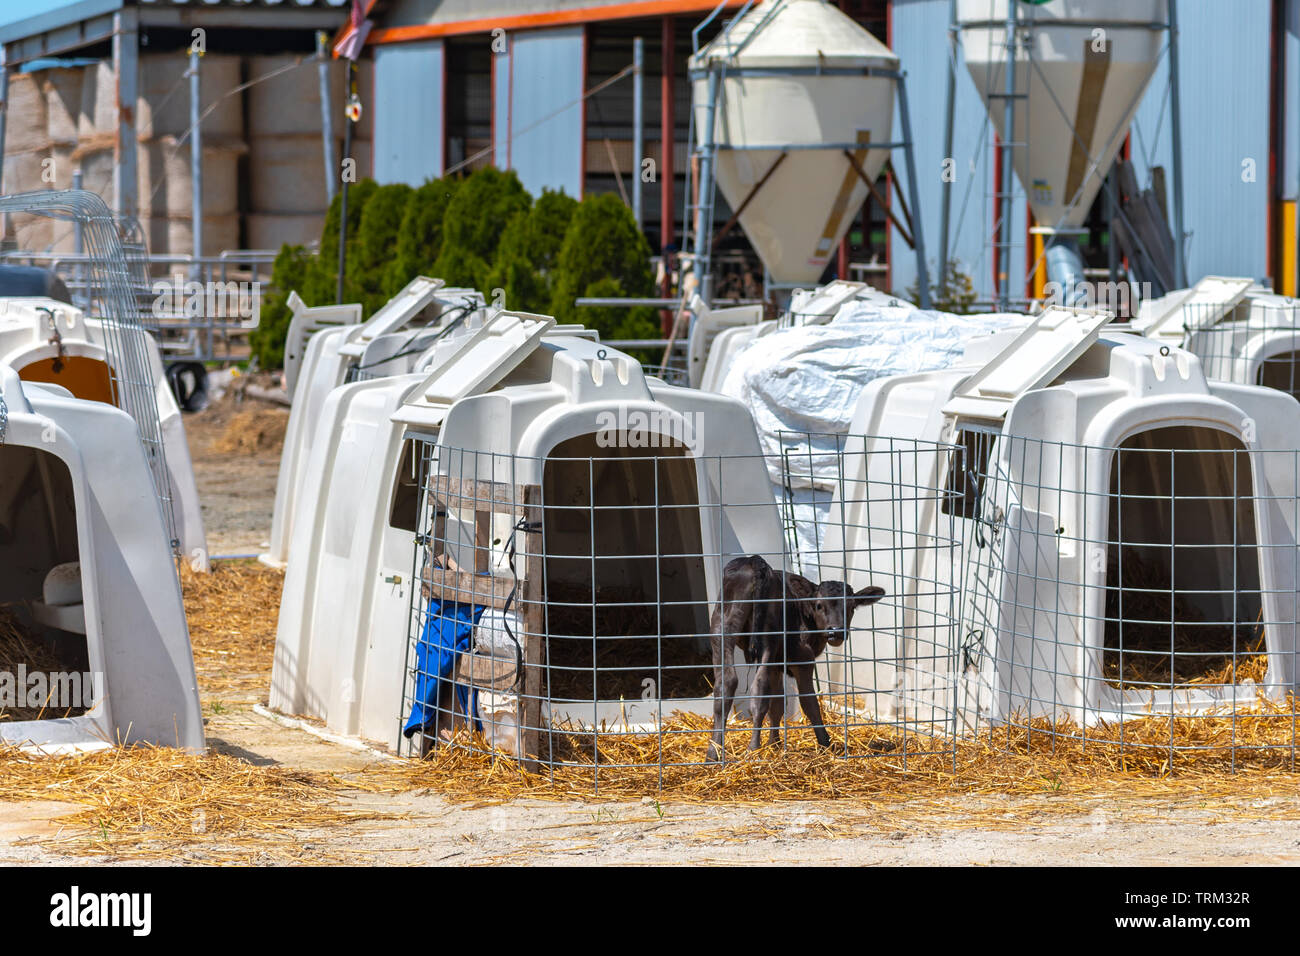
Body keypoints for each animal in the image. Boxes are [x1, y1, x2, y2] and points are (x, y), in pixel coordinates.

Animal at [712, 556, 883, 759]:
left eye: (851, 607)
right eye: (819, 605)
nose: (836, 632)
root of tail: (753, 561)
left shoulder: (778, 661)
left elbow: (777, 704)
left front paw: (774, 744)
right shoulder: (803, 660)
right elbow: (809, 703)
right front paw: (825, 744)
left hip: (722, 628)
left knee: (726, 684)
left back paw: (713, 752)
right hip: (767, 639)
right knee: (759, 689)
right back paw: (753, 748)